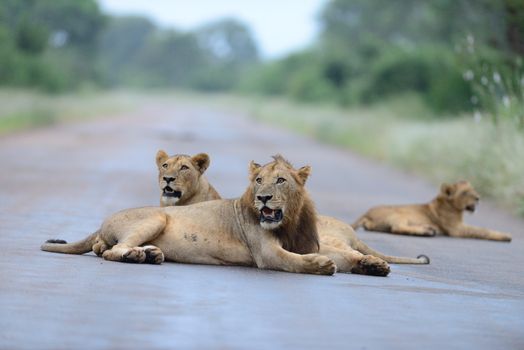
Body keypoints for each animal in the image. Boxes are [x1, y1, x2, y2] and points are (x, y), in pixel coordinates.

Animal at [352, 182, 512, 242]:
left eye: (473, 190)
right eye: (465, 193)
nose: (478, 198)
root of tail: (366, 213)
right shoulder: (456, 229)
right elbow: (481, 230)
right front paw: (506, 236)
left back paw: (428, 228)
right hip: (400, 214)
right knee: (397, 228)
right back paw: (426, 232)